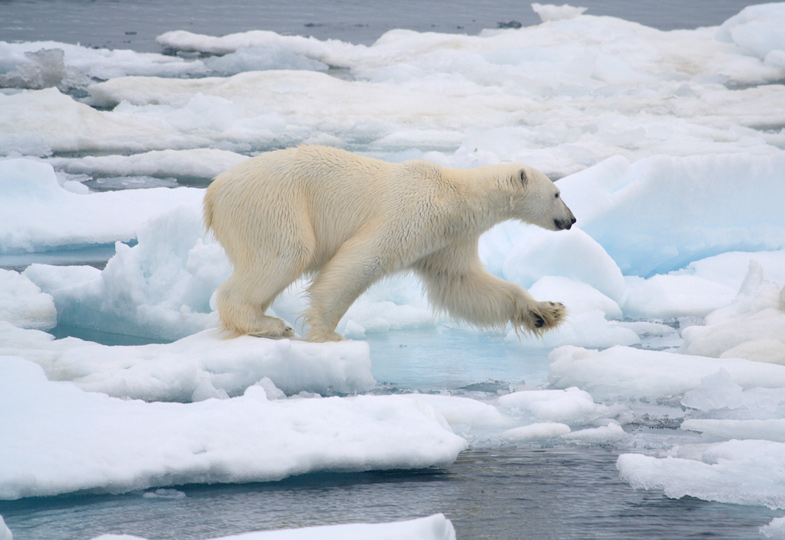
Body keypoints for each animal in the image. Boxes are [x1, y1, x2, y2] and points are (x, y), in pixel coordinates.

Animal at [204, 147, 576, 342]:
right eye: (557, 193)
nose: (572, 220)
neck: (454, 195)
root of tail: (213, 193)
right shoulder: (411, 212)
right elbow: (362, 259)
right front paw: (328, 334)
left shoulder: (447, 239)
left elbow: (462, 284)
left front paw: (546, 311)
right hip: (274, 204)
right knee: (286, 253)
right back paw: (271, 324)